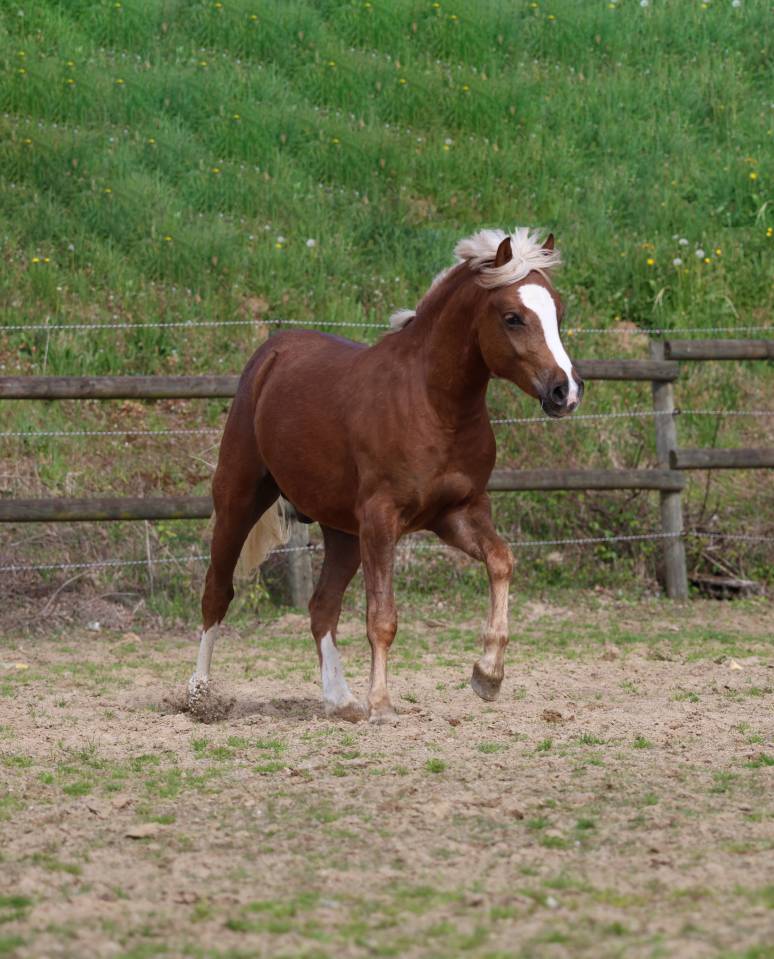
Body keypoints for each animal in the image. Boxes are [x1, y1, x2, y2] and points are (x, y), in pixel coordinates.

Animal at [187, 228, 583, 724]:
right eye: (513, 317)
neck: (434, 405)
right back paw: (199, 695)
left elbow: (501, 561)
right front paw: (381, 704)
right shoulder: (382, 519)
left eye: (558, 312)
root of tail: (268, 356)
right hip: (240, 500)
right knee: (217, 592)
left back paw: (341, 700)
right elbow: (382, 618)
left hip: (342, 531)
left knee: (322, 606)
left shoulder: (457, 513)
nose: (565, 391)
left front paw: (487, 675)